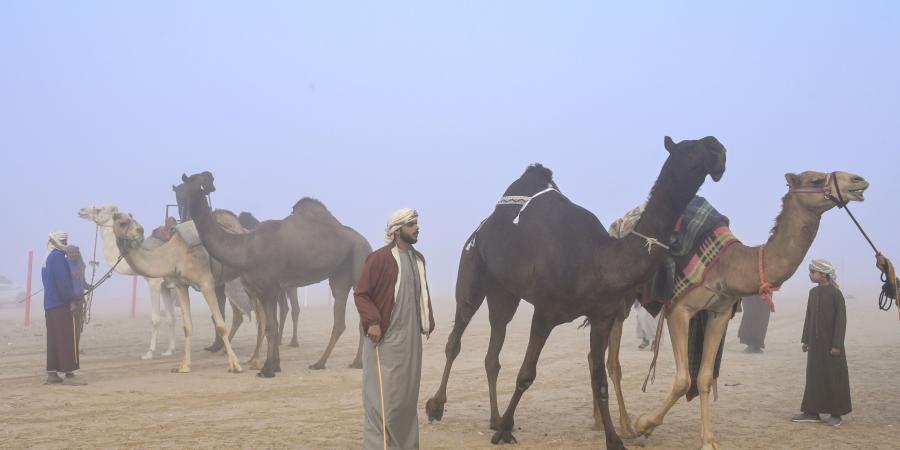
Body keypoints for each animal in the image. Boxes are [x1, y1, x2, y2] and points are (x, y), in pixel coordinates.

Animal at [80, 207, 180, 358]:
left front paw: (149, 352)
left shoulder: (154, 282)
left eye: (98, 210)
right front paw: (169, 350)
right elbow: (170, 317)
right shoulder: (164, 285)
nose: (82, 211)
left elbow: (155, 319)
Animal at [181, 172, 370, 376]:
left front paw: (267, 369)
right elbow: (271, 325)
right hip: (339, 276)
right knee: (340, 317)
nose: (185, 199)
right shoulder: (261, 289)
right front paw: (274, 365)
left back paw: (354, 362)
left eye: (198, 181)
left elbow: (270, 326)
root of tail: (366, 242)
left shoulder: (270, 287)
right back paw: (324, 363)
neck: (246, 248)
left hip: (360, 261)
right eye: (189, 180)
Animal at [426, 135, 728, 448]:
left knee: (493, 349)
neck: (599, 260)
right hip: (472, 269)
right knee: (456, 337)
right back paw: (436, 407)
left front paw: (614, 438)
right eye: (689, 147)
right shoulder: (545, 311)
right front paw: (506, 430)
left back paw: (494, 418)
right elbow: (526, 373)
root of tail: (483, 228)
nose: (718, 149)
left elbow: (600, 379)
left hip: (504, 292)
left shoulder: (602, 316)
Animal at [596, 171, 868, 448]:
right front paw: (644, 424)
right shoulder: (680, 310)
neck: (729, 266)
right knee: (612, 363)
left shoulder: (720, 313)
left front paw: (708, 440)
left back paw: (600, 423)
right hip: (620, 299)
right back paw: (625, 426)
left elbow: (704, 377)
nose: (858, 180)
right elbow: (683, 380)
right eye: (815, 180)